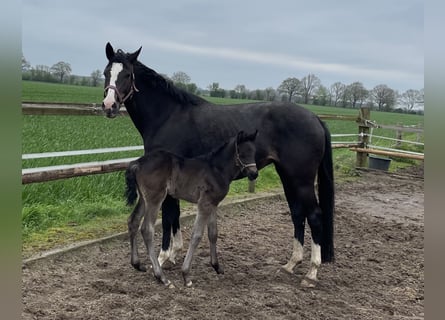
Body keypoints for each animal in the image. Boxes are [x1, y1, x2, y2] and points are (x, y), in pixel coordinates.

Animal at [125, 131, 256, 286]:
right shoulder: (204, 203)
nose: (254, 173)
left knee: (133, 221)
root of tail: (137, 164)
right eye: (241, 153)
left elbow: (213, 233)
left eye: (254, 152)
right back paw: (161, 277)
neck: (217, 169)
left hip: (143, 199)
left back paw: (137, 265)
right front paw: (186, 275)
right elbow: (197, 235)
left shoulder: (213, 203)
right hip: (155, 198)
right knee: (146, 229)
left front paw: (217, 267)